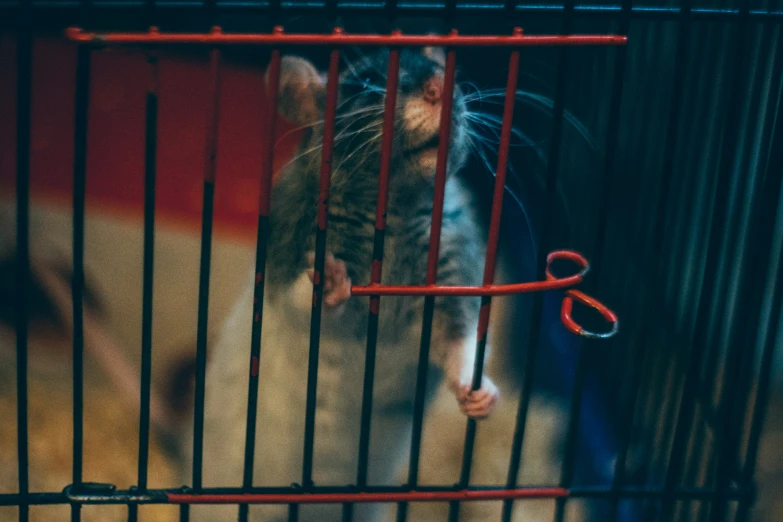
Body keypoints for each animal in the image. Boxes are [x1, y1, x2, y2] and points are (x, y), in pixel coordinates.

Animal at [186, 46, 500, 516]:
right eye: (367, 82)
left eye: (451, 71)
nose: (437, 87)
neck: (394, 211)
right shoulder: (291, 255)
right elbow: (304, 300)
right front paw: (332, 281)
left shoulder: (451, 269)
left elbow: (458, 340)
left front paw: (477, 392)